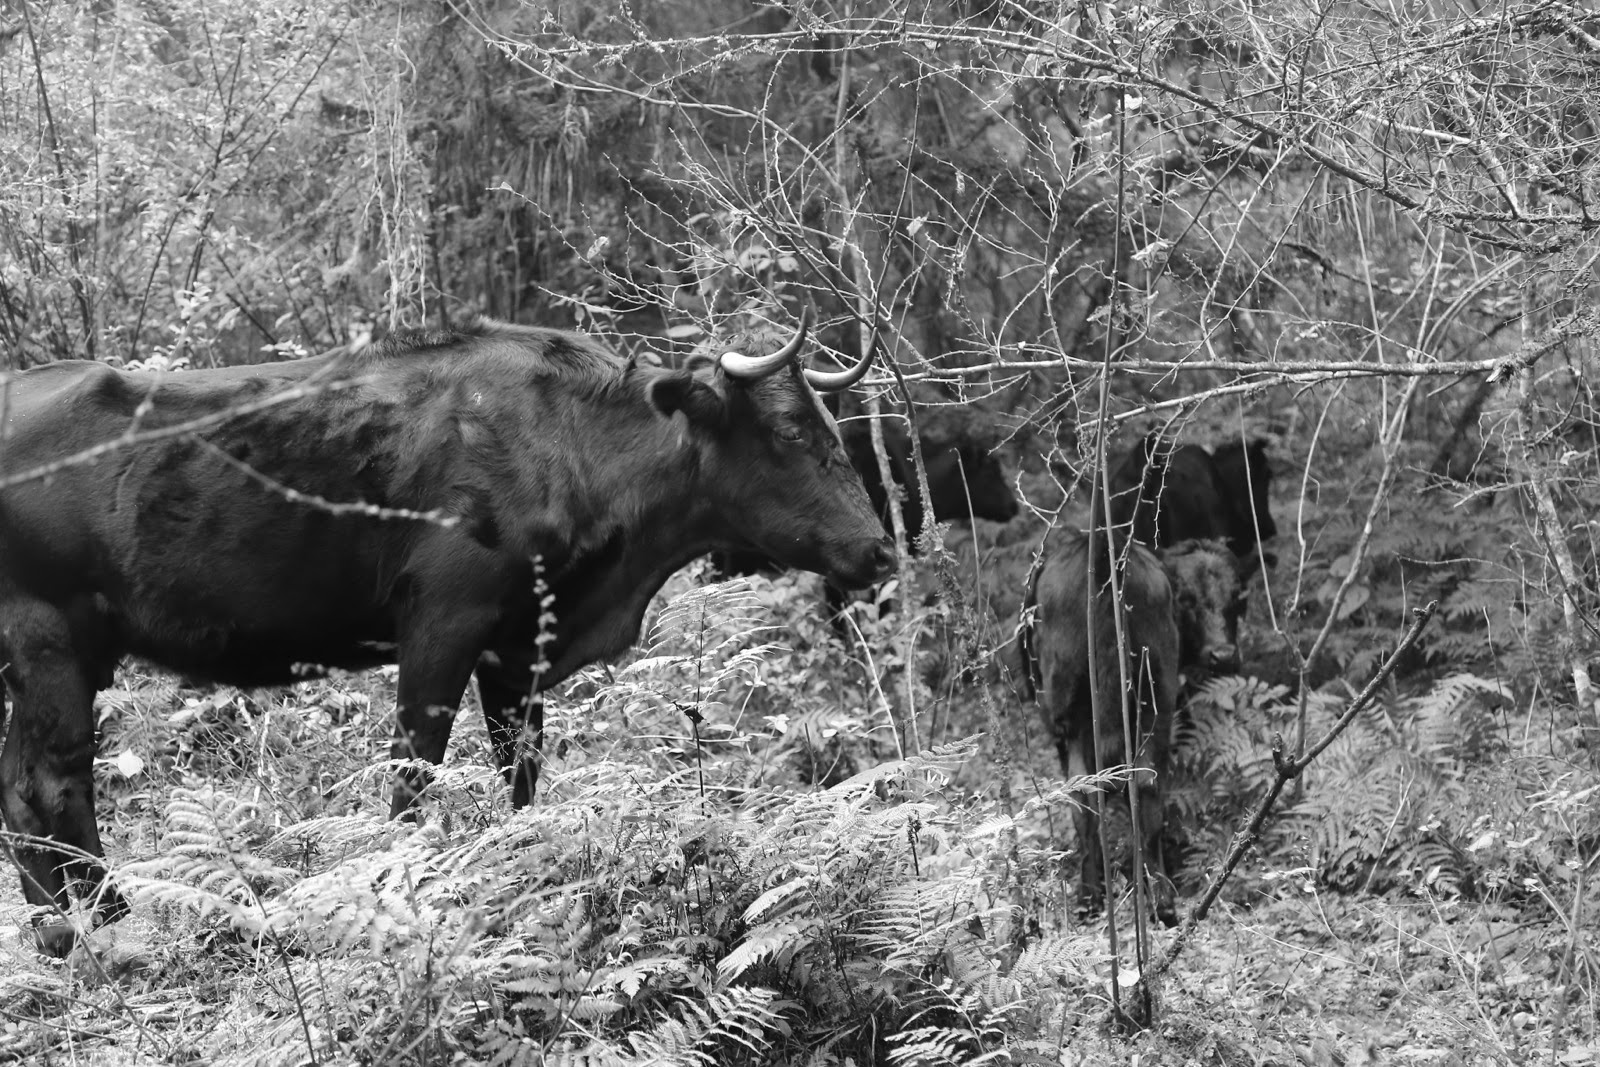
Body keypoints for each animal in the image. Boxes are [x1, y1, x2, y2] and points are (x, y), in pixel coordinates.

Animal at [0, 313, 895, 955]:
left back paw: (59, 929)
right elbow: (412, 775)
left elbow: (520, 776)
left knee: (20, 788)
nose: (880, 548)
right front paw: (398, 885)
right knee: (51, 785)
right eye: (789, 434)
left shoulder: (515, 649)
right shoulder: (441, 622)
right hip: (49, 639)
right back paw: (103, 924)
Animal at [1026, 532, 1241, 925]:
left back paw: (1095, 895)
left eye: (1237, 596)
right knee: (1143, 786)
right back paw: (1157, 899)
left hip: (1081, 714)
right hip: (1151, 700)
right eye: (1186, 598)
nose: (1223, 654)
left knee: (1090, 796)